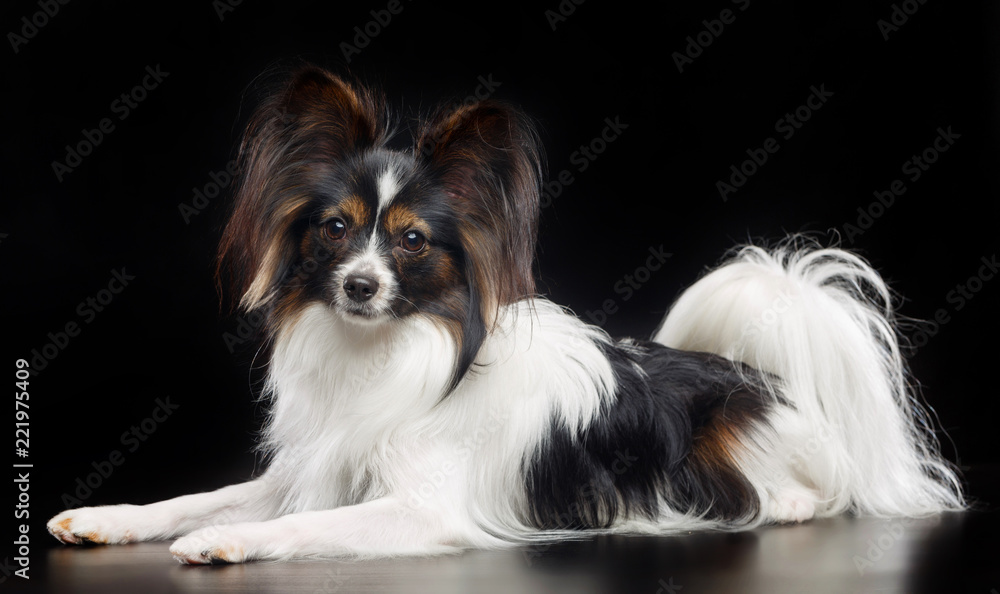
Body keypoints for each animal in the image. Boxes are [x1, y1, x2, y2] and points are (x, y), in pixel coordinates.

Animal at [48, 67, 968, 560]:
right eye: (335, 230)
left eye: (413, 242)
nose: (360, 286)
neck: (383, 351)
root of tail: (768, 379)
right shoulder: (306, 471)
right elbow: (197, 498)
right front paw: (106, 517)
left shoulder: (423, 508)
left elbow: (308, 527)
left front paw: (227, 545)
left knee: (817, 494)